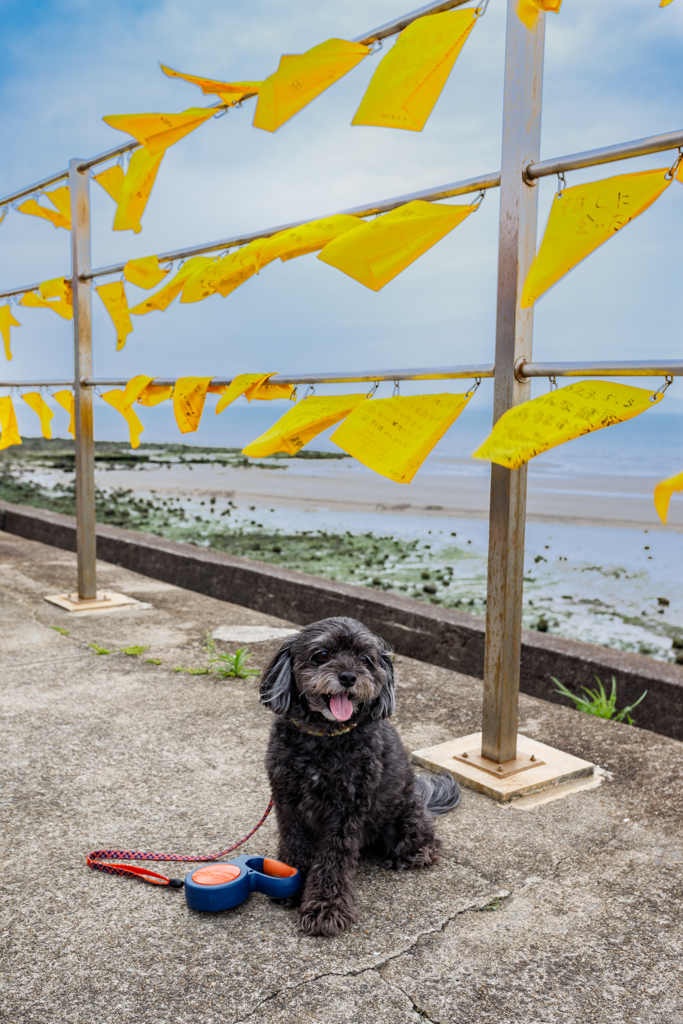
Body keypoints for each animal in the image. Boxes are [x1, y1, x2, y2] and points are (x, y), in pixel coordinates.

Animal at [259, 614, 462, 937]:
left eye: (365, 659)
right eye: (322, 654)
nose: (348, 677)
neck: (324, 737)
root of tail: (420, 798)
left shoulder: (346, 809)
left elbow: (333, 860)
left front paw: (325, 908)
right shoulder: (288, 799)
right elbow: (294, 842)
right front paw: (290, 884)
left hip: (405, 819)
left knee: (427, 843)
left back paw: (411, 856)